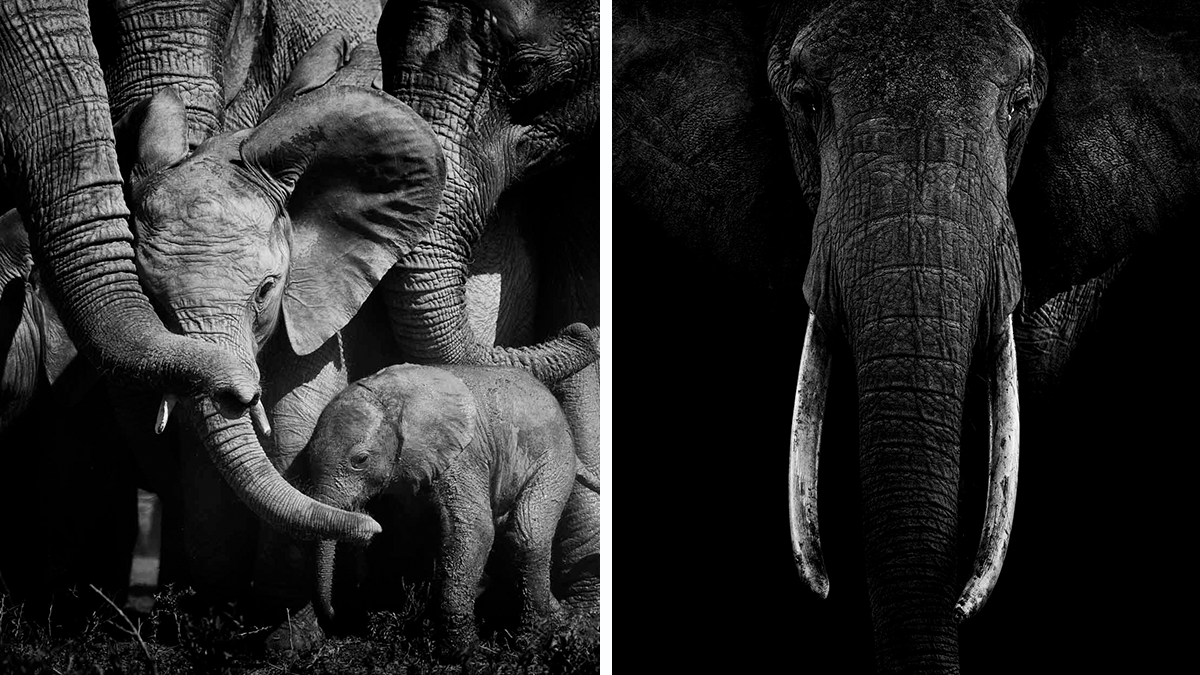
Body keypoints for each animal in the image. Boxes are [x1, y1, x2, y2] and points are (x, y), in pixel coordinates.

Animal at [305, 363, 594, 658]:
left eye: (360, 460)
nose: (334, 616)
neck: (393, 396)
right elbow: (406, 536)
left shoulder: (463, 455)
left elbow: (473, 529)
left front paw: (458, 654)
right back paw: (563, 626)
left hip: (554, 459)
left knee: (526, 535)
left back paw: (531, 643)